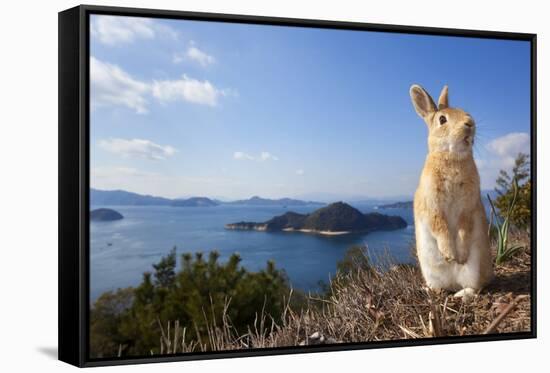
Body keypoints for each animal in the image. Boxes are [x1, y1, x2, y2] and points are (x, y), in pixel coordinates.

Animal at [410, 84, 496, 300]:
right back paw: (432, 290)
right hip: (430, 271)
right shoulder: (433, 205)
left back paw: (460, 294)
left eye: (465, 111)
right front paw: (449, 255)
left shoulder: (468, 206)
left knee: (475, 288)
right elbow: (440, 226)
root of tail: (453, 284)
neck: (452, 157)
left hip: (475, 268)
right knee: (441, 286)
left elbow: (464, 227)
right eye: (442, 119)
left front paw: (459, 256)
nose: (470, 123)